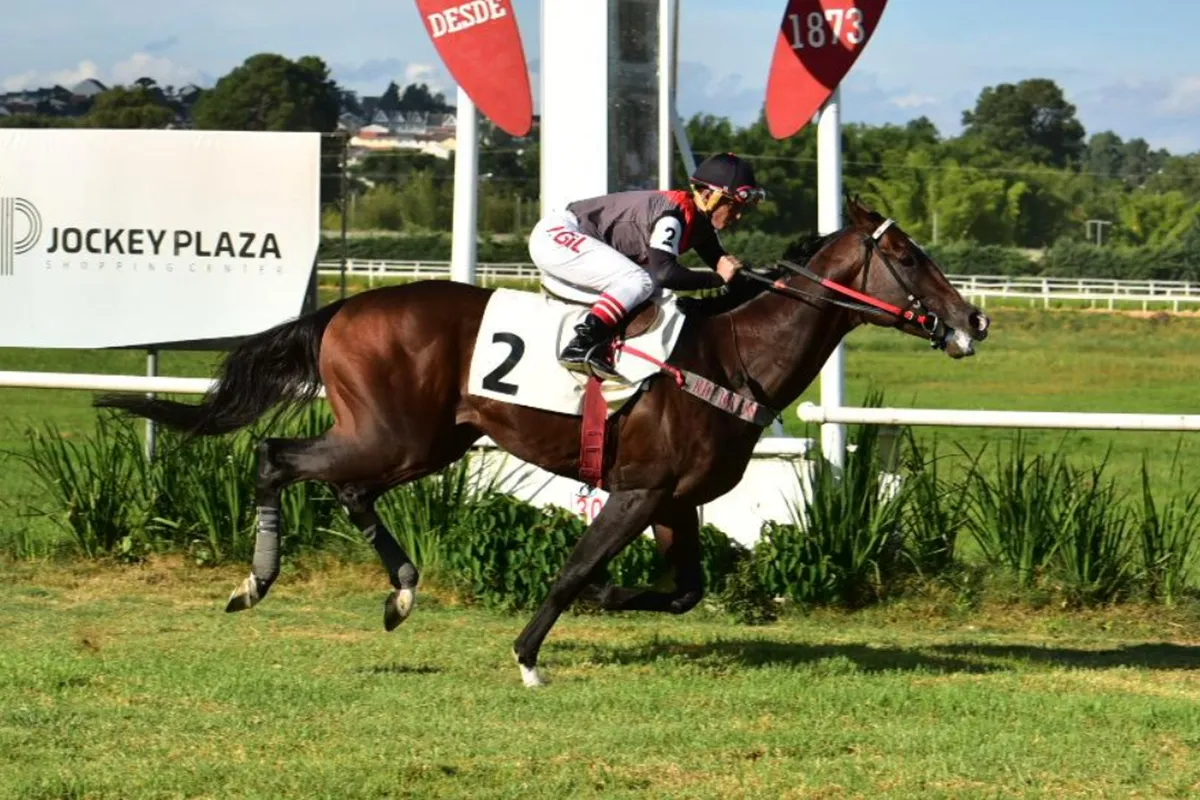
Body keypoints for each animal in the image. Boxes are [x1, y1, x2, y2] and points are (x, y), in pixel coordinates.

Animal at [94, 196, 990, 687]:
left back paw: (400, 591)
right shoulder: (637, 492)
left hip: (424, 442)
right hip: (394, 434)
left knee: (343, 486)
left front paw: (613, 599)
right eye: (906, 255)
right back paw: (256, 580)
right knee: (277, 458)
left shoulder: (675, 501)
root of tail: (345, 307)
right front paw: (530, 653)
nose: (973, 320)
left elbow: (681, 591)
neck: (731, 355)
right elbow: (573, 570)